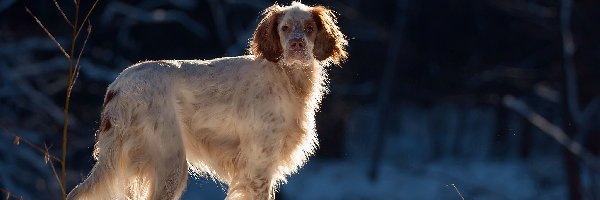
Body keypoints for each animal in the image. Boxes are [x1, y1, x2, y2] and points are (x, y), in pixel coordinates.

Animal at [67, 1, 346, 200]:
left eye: (309, 28)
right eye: (284, 28)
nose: (297, 44)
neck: (286, 78)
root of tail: (119, 85)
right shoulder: (258, 165)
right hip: (171, 162)